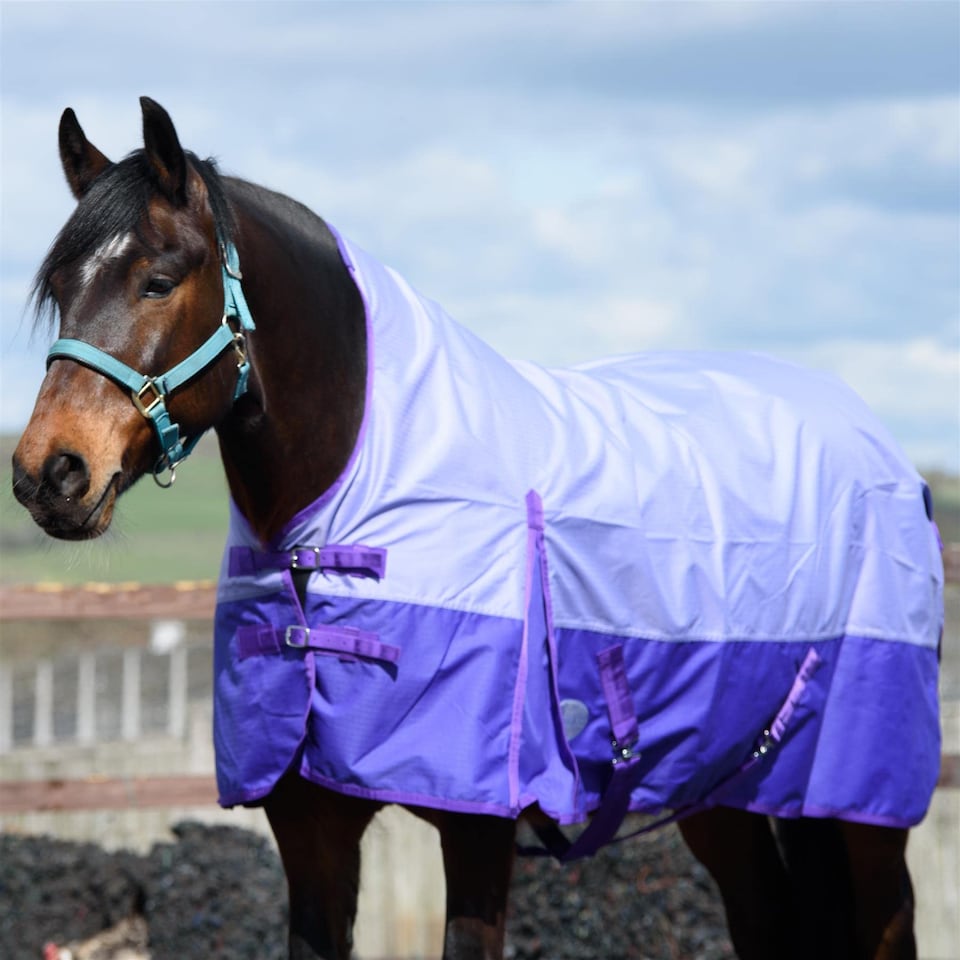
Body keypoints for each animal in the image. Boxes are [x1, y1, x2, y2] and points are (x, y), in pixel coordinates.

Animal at [13, 98, 943, 960]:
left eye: (160, 279)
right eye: (59, 291)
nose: (49, 474)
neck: (350, 503)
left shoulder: (479, 830)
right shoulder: (311, 833)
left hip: (860, 805)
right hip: (715, 787)